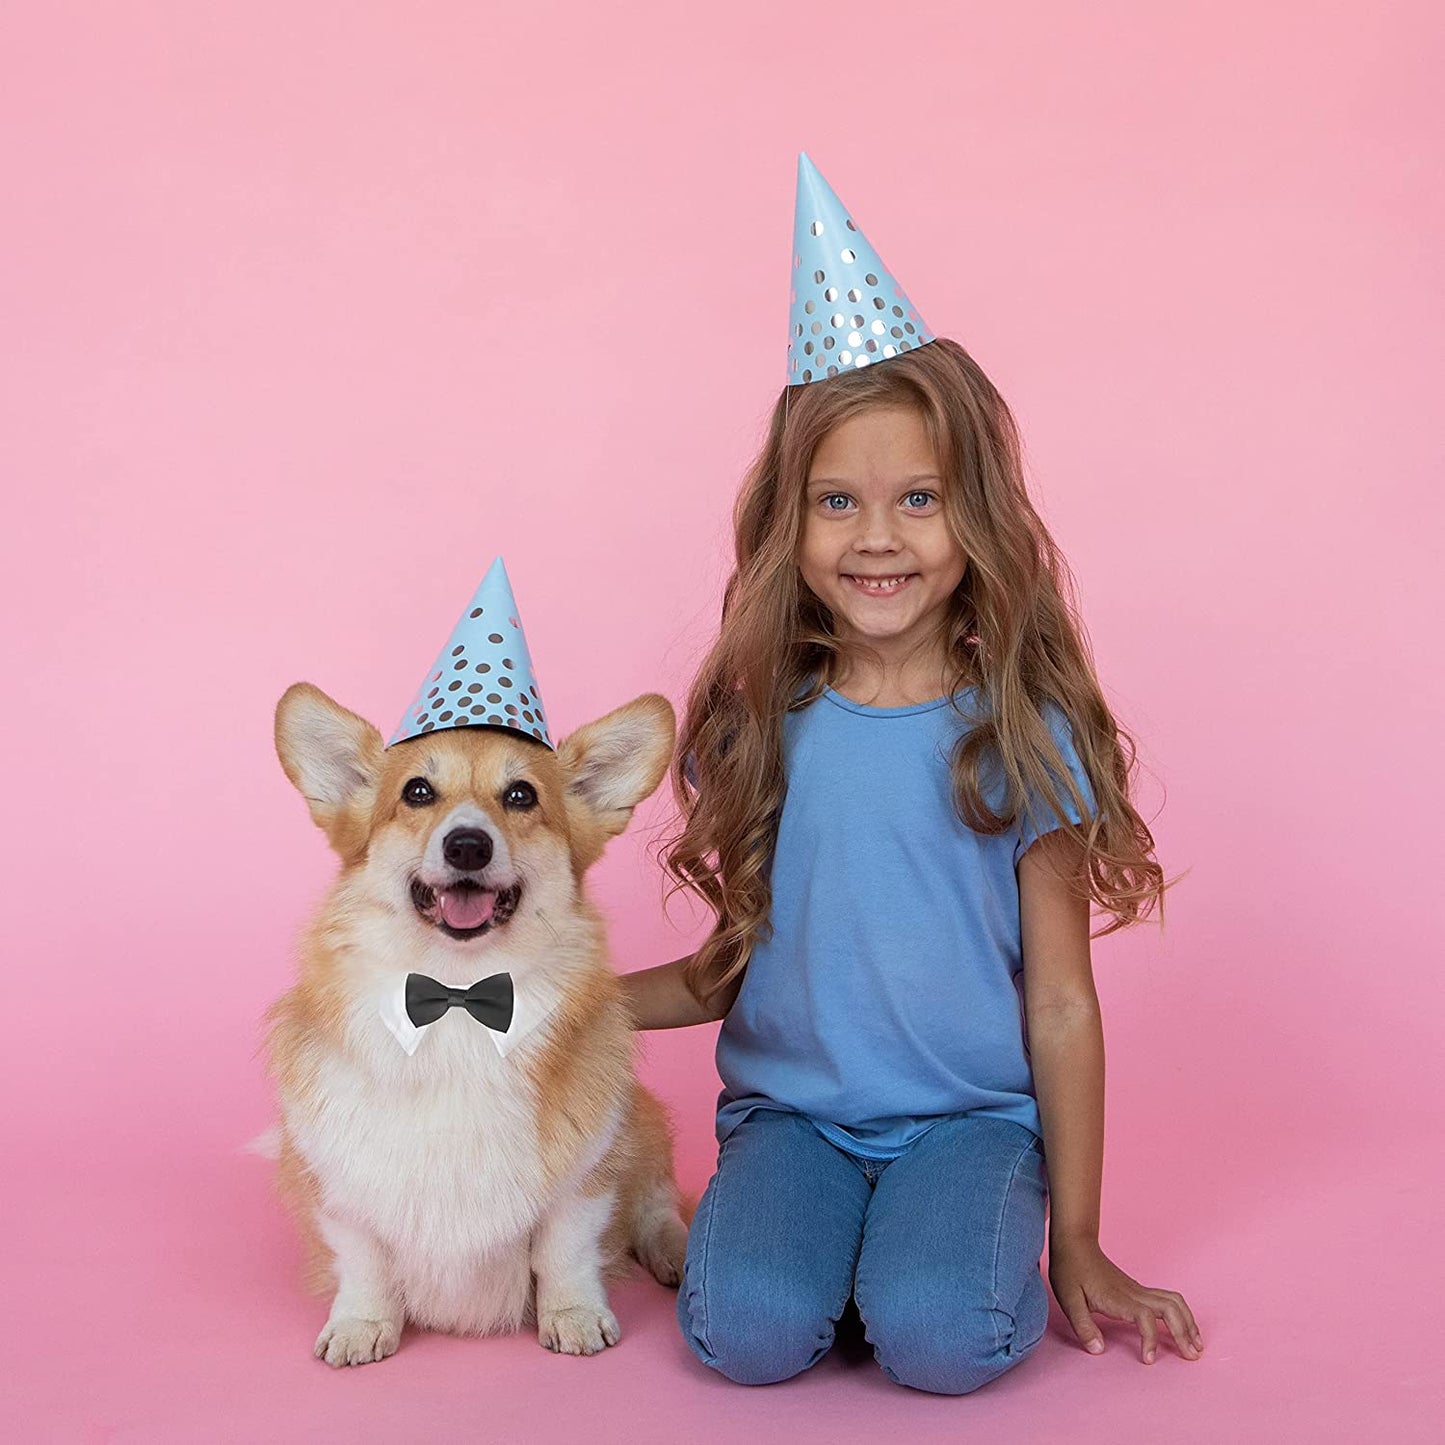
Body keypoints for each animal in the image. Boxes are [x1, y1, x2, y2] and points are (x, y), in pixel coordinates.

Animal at [267, 684, 693, 1364]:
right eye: (417, 792)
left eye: (521, 796)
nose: (468, 844)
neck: (458, 994)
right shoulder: (340, 1180)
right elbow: (364, 1260)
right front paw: (361, 1324)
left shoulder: (586, 1175)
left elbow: (565, 1250)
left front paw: (574, 1316)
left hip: (642, 1123)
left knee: (657, 1205)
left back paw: (674, 1253)